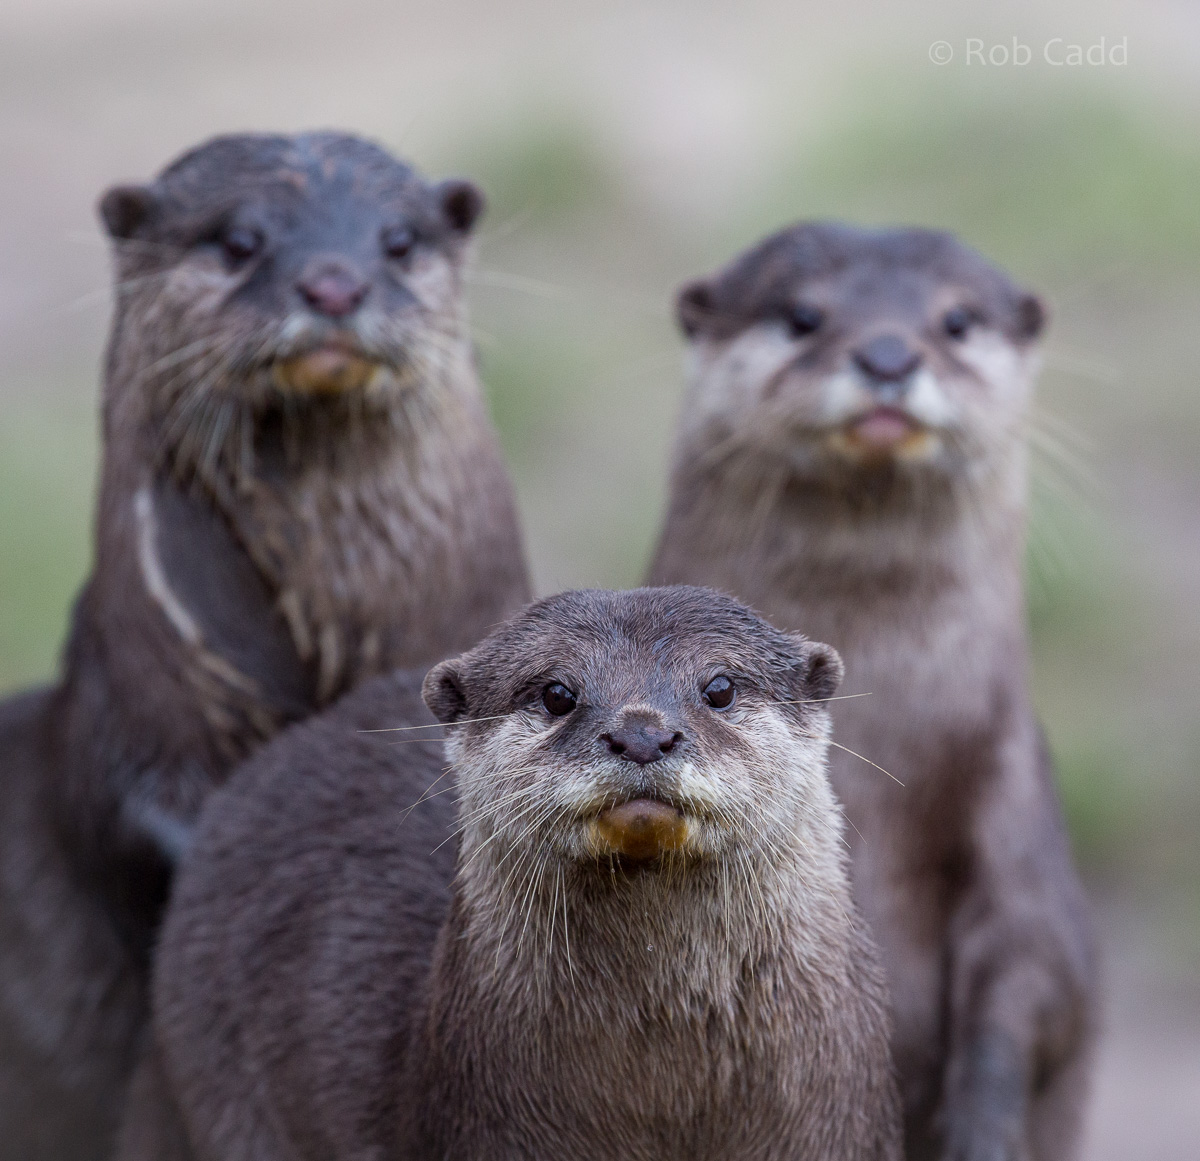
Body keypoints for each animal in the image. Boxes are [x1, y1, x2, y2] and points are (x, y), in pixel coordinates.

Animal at [649, 224, 1098, 1161]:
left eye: (956, 319)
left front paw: (980, 1132)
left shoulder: (1013, 804)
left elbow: (1037, 973)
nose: (888, 353)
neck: (874, 759)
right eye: (802, 315)